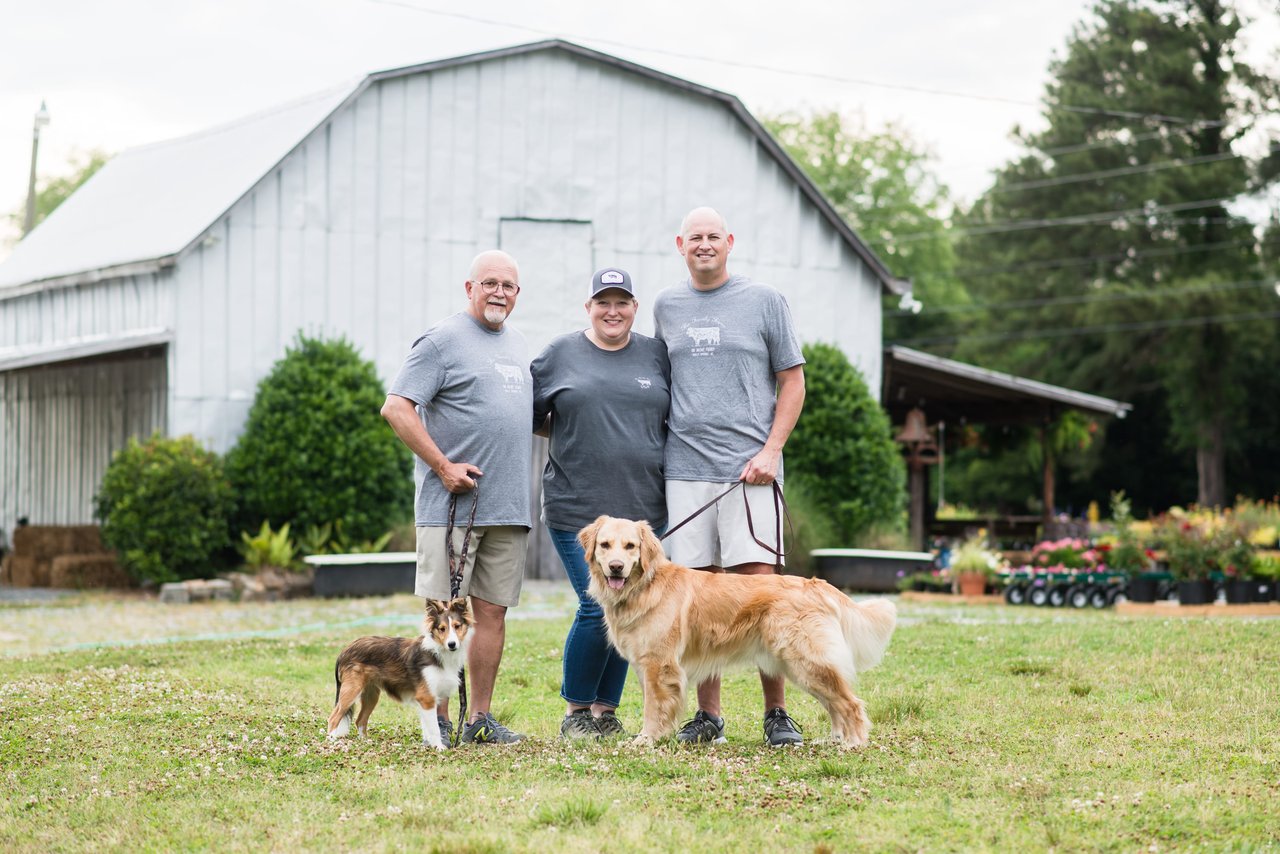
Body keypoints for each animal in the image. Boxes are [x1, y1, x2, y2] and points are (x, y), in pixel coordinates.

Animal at [327, 599, 473, 752]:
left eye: (457, 626)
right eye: (442, 629)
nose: (452, 644)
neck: (437, 651)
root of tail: (344, 650)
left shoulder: (426, 700)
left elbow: (427, 728)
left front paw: (428, 745)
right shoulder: (427, 698)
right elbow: (434, 729)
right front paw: (438, 747)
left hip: (371, 695)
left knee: (360, 720)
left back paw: (365, 742)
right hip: (351, 690)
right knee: (333, 718)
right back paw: (332, 742)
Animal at [583, 514, 901, 747]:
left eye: (630, 546)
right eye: (605, 545)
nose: (616, 567)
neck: (645, 585)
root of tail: (816, 583)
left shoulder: (658, 667)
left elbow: (653, 708)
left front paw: (645, 740)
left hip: (807, 661)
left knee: (850, 704)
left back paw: (853, 743)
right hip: (802, 667)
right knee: (835, 705)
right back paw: (834, 740)